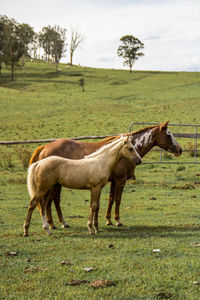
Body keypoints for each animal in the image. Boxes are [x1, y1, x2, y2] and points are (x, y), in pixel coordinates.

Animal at [28, 120, 182, 229]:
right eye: (168, 135)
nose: (179, 149)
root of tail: (45, 147)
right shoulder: (120, 180)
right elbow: (117, 200)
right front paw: (117, 221)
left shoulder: (113, 181)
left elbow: (111, 199)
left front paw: (108, 220)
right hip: (53, 185)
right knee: (49, 201)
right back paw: (53, 224)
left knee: (52, 201)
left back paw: (59, 223)